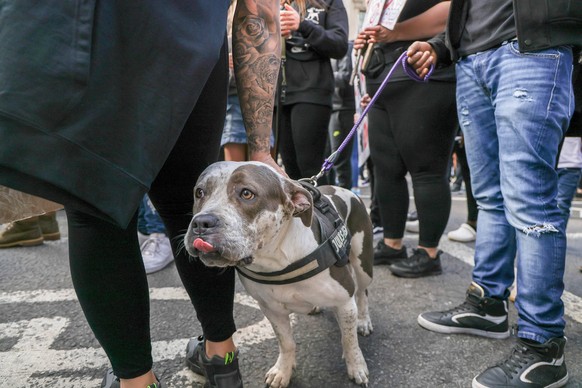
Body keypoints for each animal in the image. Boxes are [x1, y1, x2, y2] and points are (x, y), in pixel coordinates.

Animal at [185, 161, 374, 388]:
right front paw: (283, 371)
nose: (201, 222)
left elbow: (349, 339)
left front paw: (356, 366)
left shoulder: (344, 302)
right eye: (199, 192)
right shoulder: (272, 309)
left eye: (247, 193)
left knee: (362, 292)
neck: (276, 259)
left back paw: (363, 321)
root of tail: (344, 190)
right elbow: (286, 342)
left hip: (363, 264)